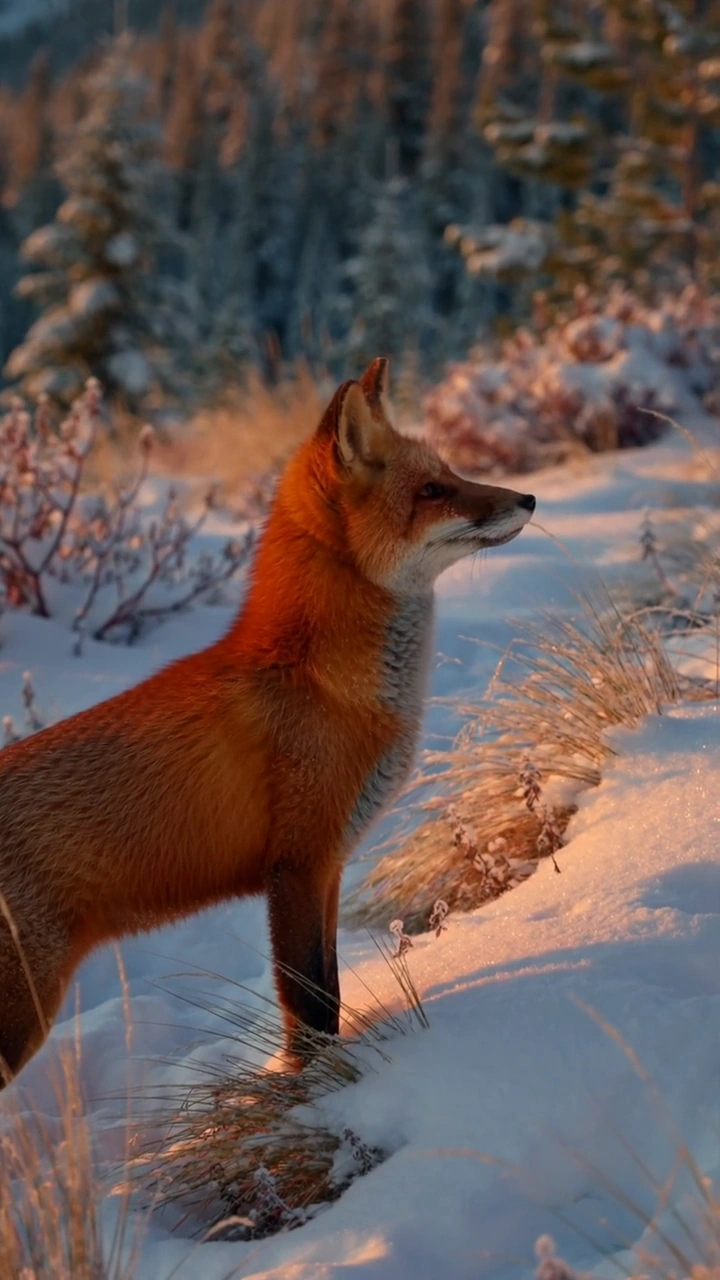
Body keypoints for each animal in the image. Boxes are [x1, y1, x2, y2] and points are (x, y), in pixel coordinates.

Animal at [0, 357, 535, 1084]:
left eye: (450, 473)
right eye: (433, 489)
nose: (530, 499)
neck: (324, 684)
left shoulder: (330, 866)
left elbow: (328, 990)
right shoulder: (297, 865)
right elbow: (308, 1004)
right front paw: (314, 1085)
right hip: (21, 1014)